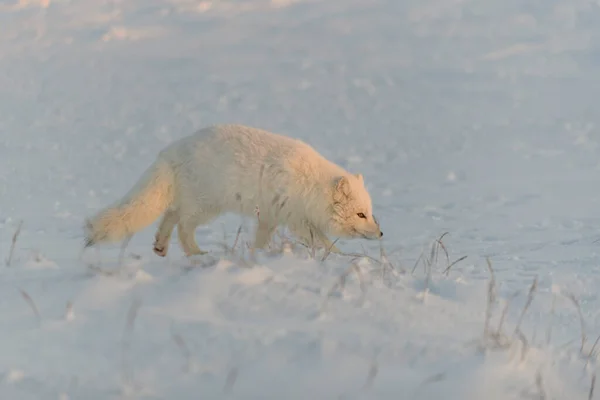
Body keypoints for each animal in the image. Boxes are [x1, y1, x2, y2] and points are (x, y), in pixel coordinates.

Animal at [85, 123, 380, 258]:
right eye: (361, 215)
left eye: (370, 212)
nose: (381, 234)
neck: (311, 186)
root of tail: (172, 150)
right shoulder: (297, 219)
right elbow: (322, 241)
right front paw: (343, 258)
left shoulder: (271, 215)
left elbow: (262, 237)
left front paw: (257, 255)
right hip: (207, 205)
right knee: (182, 226)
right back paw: (196, 253)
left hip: (193, 201)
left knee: (170, 216)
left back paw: (161, 246)